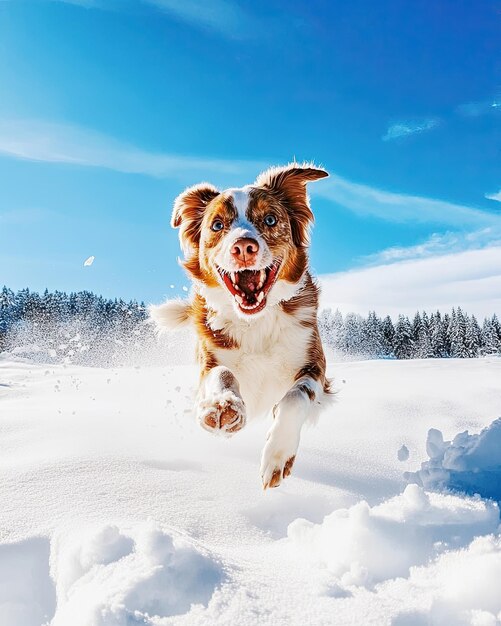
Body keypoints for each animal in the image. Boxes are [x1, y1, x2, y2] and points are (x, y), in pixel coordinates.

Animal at [152, 162, 332, 488]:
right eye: (217, 225)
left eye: (270, 219)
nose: (244, 248)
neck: (256, 322)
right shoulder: (209, 360)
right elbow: (222, 373)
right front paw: (223, 407)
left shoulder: (315, 365)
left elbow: (296, 397)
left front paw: (278, 455)